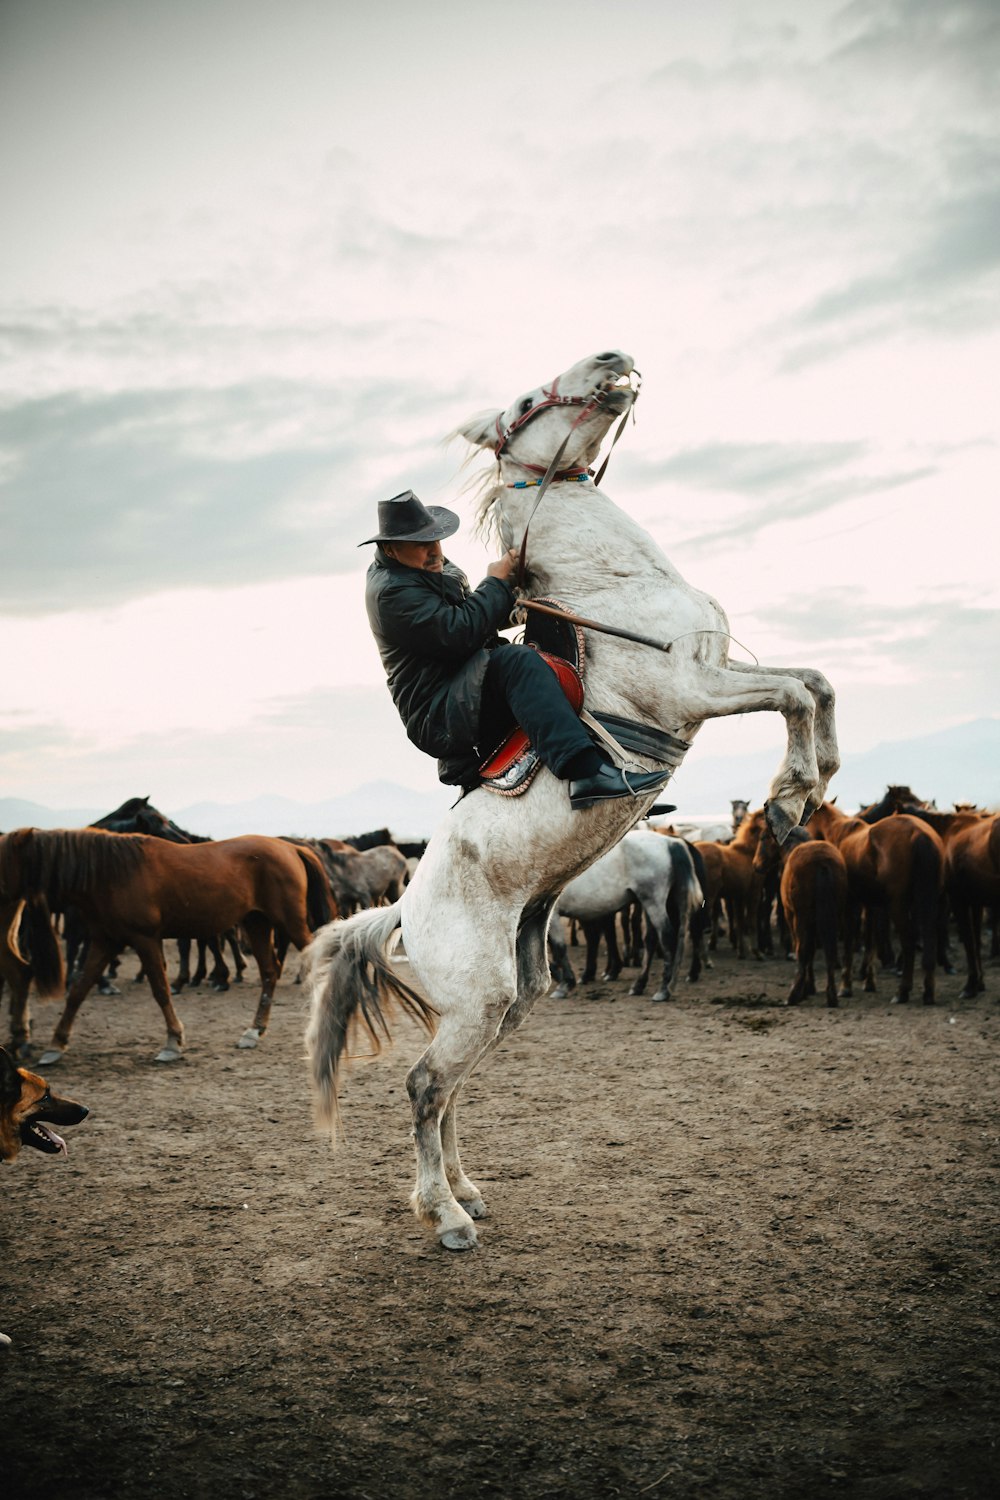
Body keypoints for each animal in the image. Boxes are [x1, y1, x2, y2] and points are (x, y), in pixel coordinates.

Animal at [0, 828, 335, 1062]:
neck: (110, 872)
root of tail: (291, 847)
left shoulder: (144, 939)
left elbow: (160, 989)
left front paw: (173, 1042)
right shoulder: (105, 941)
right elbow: (78, 991)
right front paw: (56, 1045)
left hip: (289, 923)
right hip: (257, 923)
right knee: (269, 971)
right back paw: (253, 1031)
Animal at [305, 351, 839, 1254]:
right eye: (527, 400)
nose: (611, 360)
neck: (614, 584)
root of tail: (401, 909)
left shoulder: (723, 674)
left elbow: (815, 682)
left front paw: (814, 782)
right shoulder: (697, 689)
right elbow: (794, 695)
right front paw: (788, 798)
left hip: (502, 1001)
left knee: (449, 1089)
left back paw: (466, 1190)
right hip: (480, 1000)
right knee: (424, 1086)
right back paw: (444, 1214)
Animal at [803, 804, 947, 1002]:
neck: (841, 833)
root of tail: (921, 835)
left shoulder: (851, 904)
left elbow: (850, 941)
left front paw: (846, 986)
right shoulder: (871, 905)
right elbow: (869, 940)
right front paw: (868, 981)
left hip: (898, 905)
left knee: (908, 941)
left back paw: (902, 991)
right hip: (928, 901)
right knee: (929, 937)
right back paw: (928, 992)